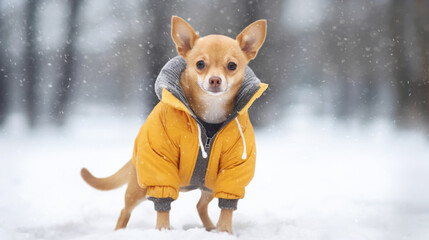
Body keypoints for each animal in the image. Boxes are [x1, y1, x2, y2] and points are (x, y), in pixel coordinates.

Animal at [80, 15, 266, 233]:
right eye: (200, 64)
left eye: (232, 66)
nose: (215, 80)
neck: (210, 115)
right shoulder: (160, 167)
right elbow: (162, 203)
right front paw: (162, 230)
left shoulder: (231, 171)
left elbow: (227, 206)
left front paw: (225, 231)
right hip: (138, 188)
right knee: (125, 211)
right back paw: (120, 231)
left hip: (211, 185)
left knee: (200, 205)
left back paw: (210, 228)